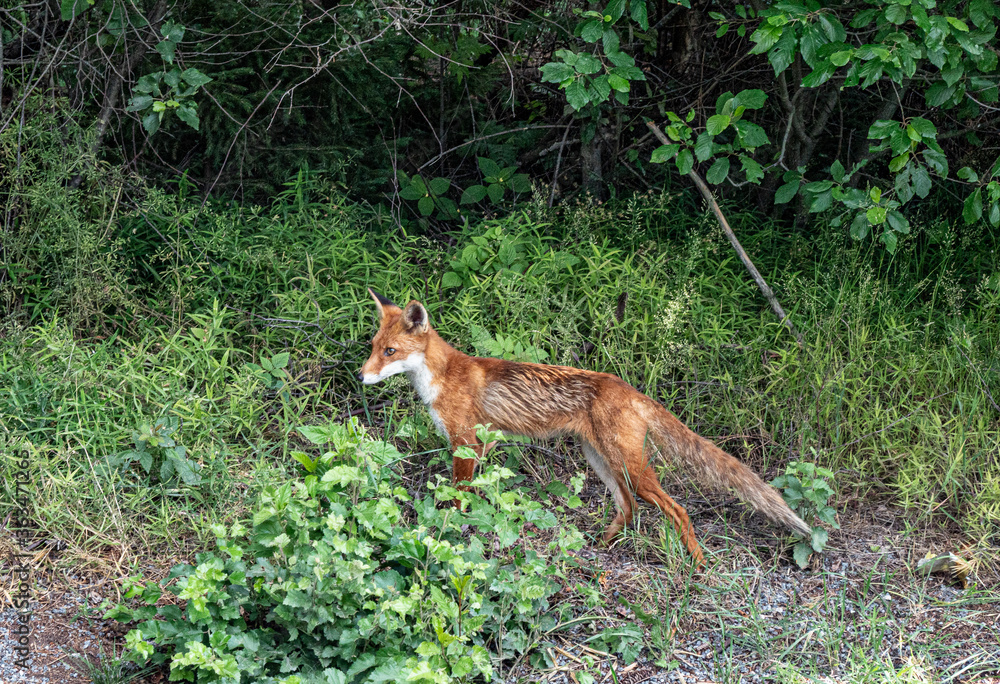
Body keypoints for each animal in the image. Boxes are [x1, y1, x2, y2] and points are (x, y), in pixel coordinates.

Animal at [358, 289, 811, 566]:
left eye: (391, 351)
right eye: (373, 348)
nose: (361, 376)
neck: (440, 377)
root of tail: (629, 388)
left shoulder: (466, 443)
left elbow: (457, 500)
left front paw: (445, 537)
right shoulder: (479, 447)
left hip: (631, 467)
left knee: (676, 510)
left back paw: (697, 565)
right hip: (601, 461)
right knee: (628, 509)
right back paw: (602, 547)